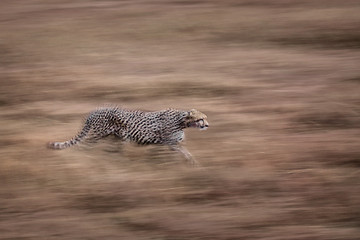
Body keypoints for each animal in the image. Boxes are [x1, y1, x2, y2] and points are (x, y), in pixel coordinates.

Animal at [49, 108, 210, 166]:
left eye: (205, 118)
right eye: (201, 119)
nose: (207, 125)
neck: (183, 121)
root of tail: (94, 111)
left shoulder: (164, 144)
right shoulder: (171, 144)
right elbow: (185, 153)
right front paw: (192, 162)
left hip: (116, 138)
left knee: (111, 151)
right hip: (98, 134)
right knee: (85, 145)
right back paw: (84, 158)